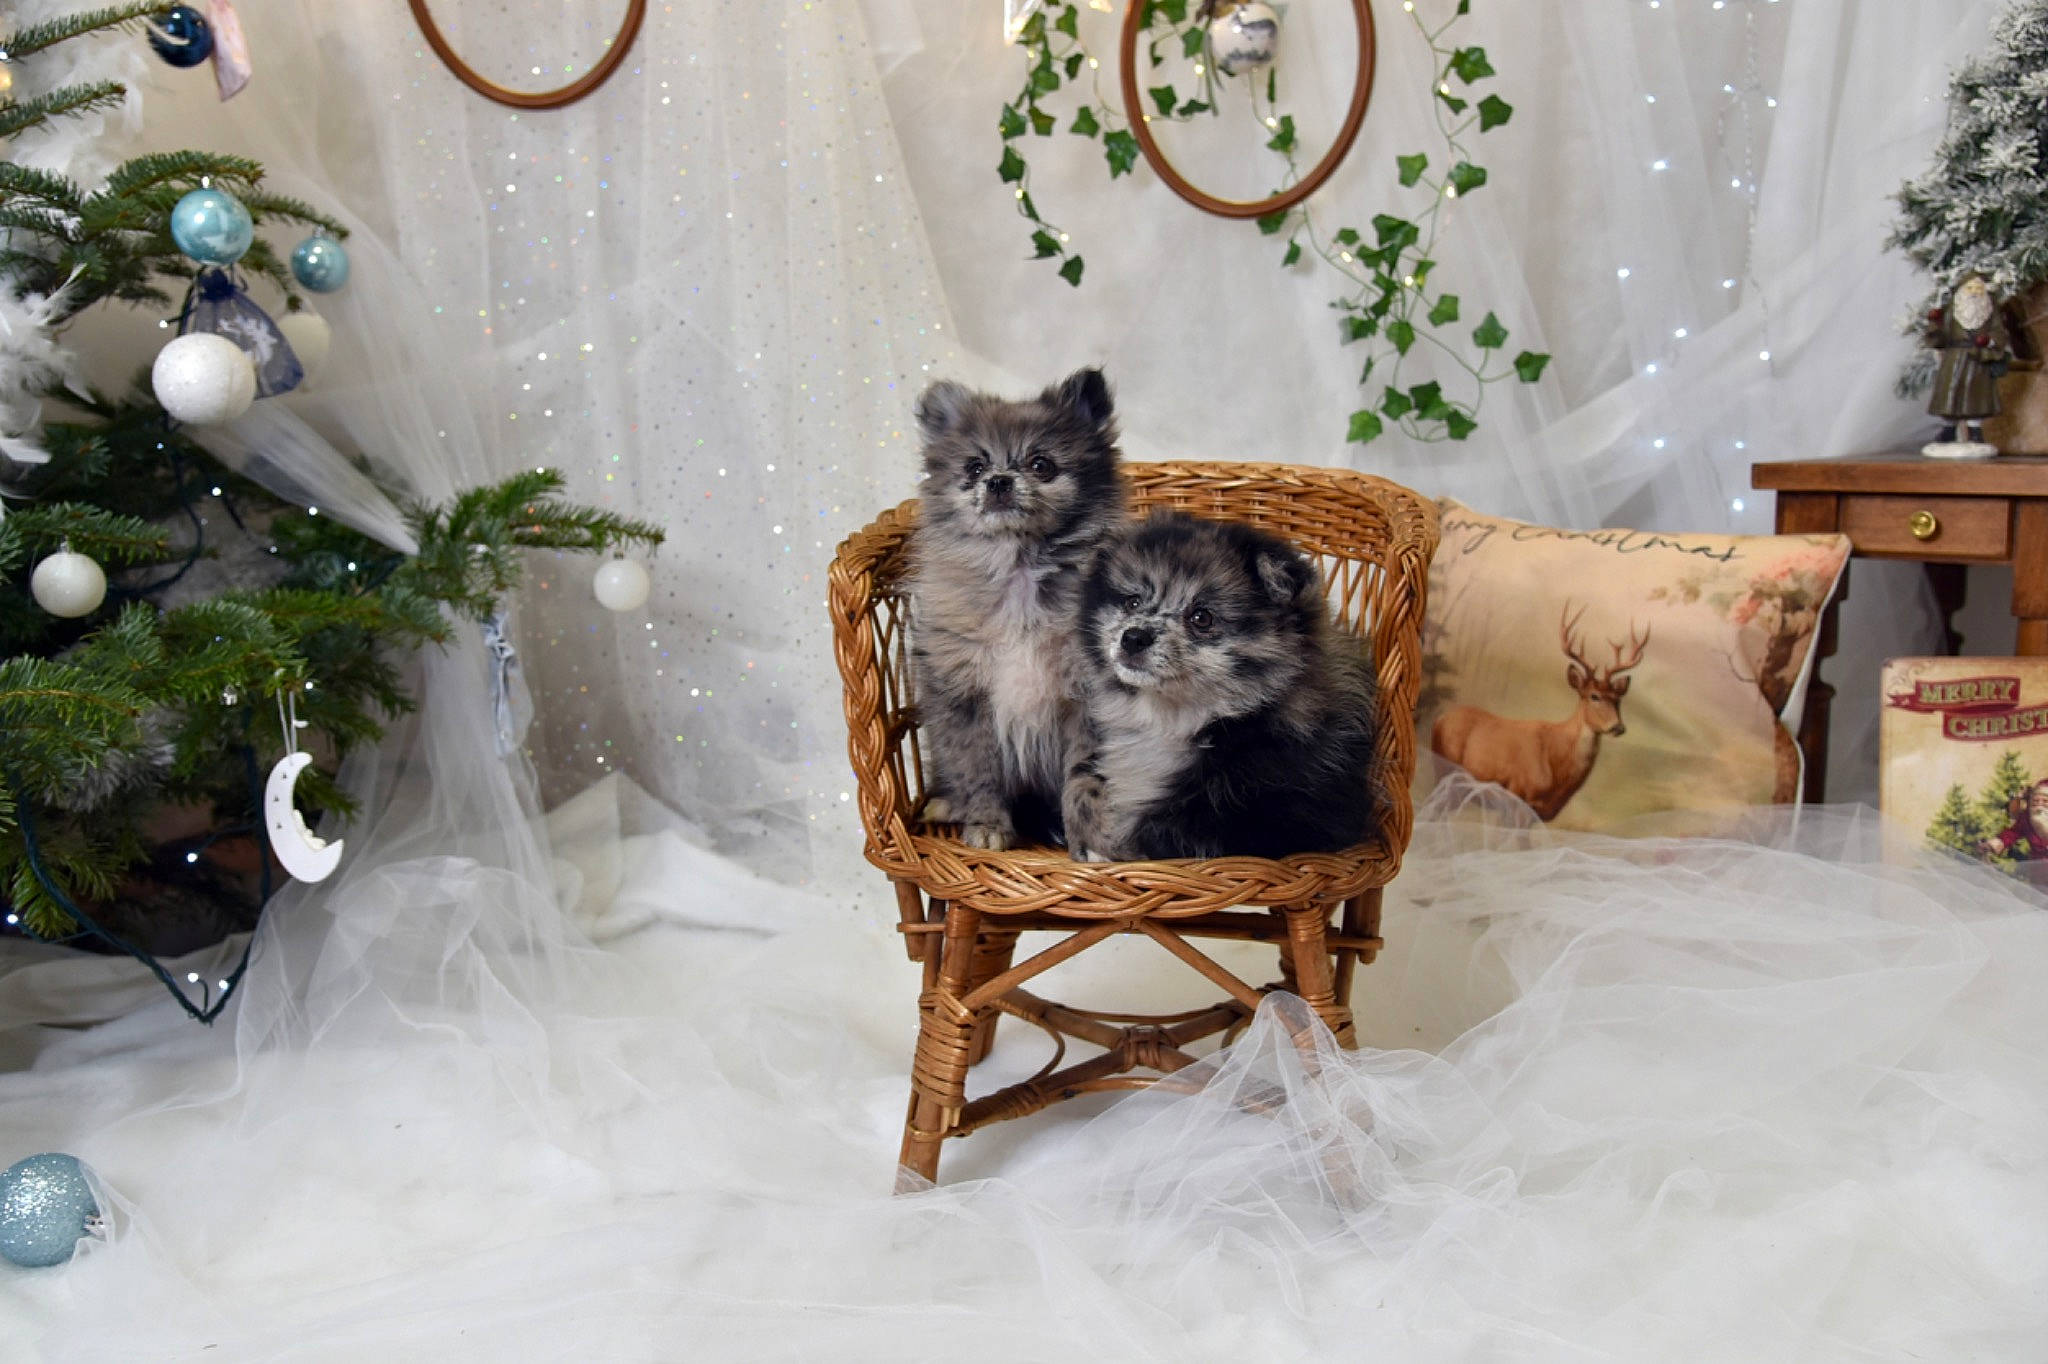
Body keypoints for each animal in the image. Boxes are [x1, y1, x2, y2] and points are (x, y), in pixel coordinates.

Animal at [1430, 603, 1650, 822]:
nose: (1618, 727)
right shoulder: (1517, 794)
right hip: (1445, 774)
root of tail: (1440, 719)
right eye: (1594, 696)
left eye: (1618, 699)